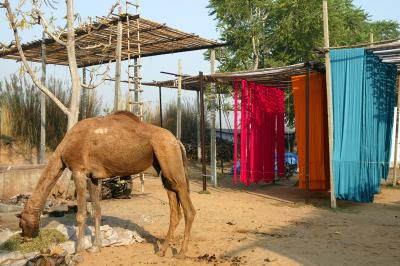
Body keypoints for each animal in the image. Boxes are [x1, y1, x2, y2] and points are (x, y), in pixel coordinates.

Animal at [17, 111, 195, 260]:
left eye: (21, 223)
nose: (23, 237)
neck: (64, 147)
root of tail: (177, 141)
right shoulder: (93, 177)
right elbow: (96, 210)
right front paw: (96, 248)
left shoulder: (78, 171)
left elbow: (81, 215)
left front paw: (78, 255)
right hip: (165, 171)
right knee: (175, 210)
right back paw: (162, 251)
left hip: (171, 161)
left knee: (189, 209)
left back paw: (181, 253)